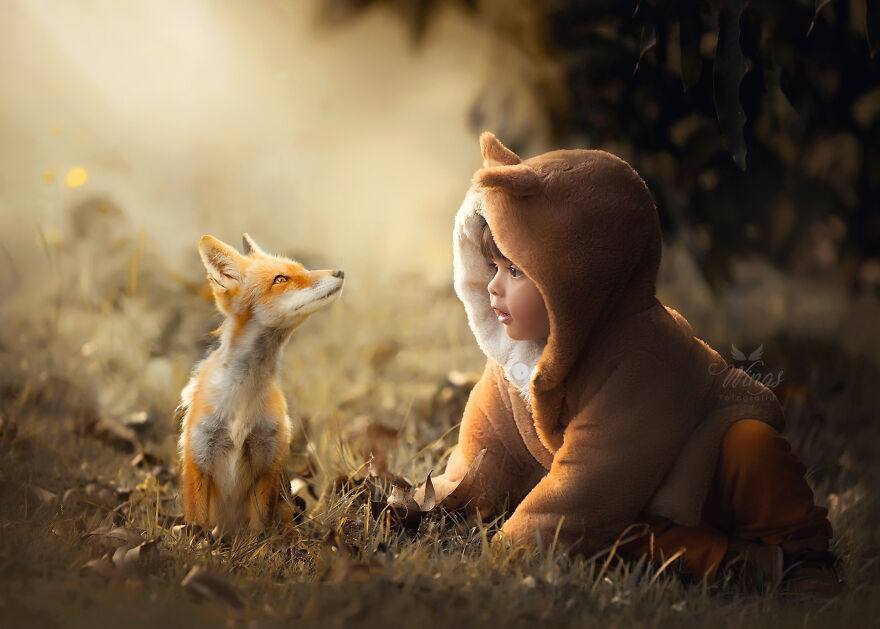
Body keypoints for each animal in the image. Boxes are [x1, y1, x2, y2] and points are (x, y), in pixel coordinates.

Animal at [176, 232, 344, 537]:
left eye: (302, 269)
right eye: (281, 279)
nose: (340, 271)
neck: (242, 397)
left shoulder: (267, 460)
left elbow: (260, 530)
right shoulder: (198, 457)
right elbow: (198, 527)